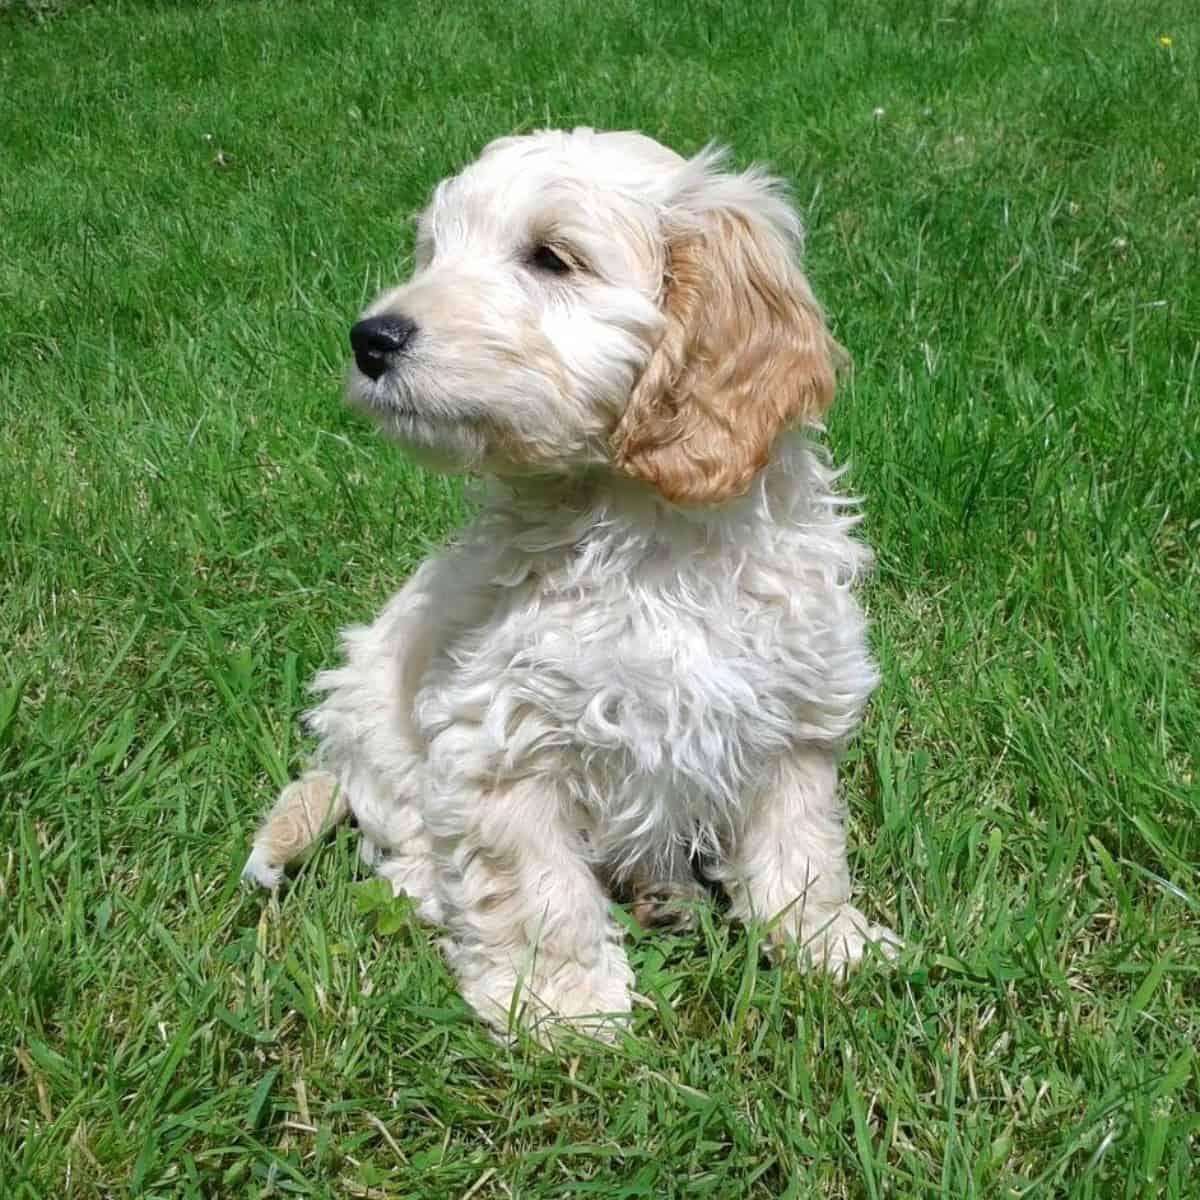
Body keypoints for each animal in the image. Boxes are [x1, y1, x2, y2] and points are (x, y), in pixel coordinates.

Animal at [243, 124, 902, 1041]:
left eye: (551, 258)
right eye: (435, 252)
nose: (369, 338)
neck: (645, 540)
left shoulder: (792, 705)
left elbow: (802, 841)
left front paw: (828, 943)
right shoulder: (502, 737)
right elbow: (535, 889)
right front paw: (566, 1009)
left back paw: (668, 894)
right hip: (378, 730)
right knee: (406, 844)